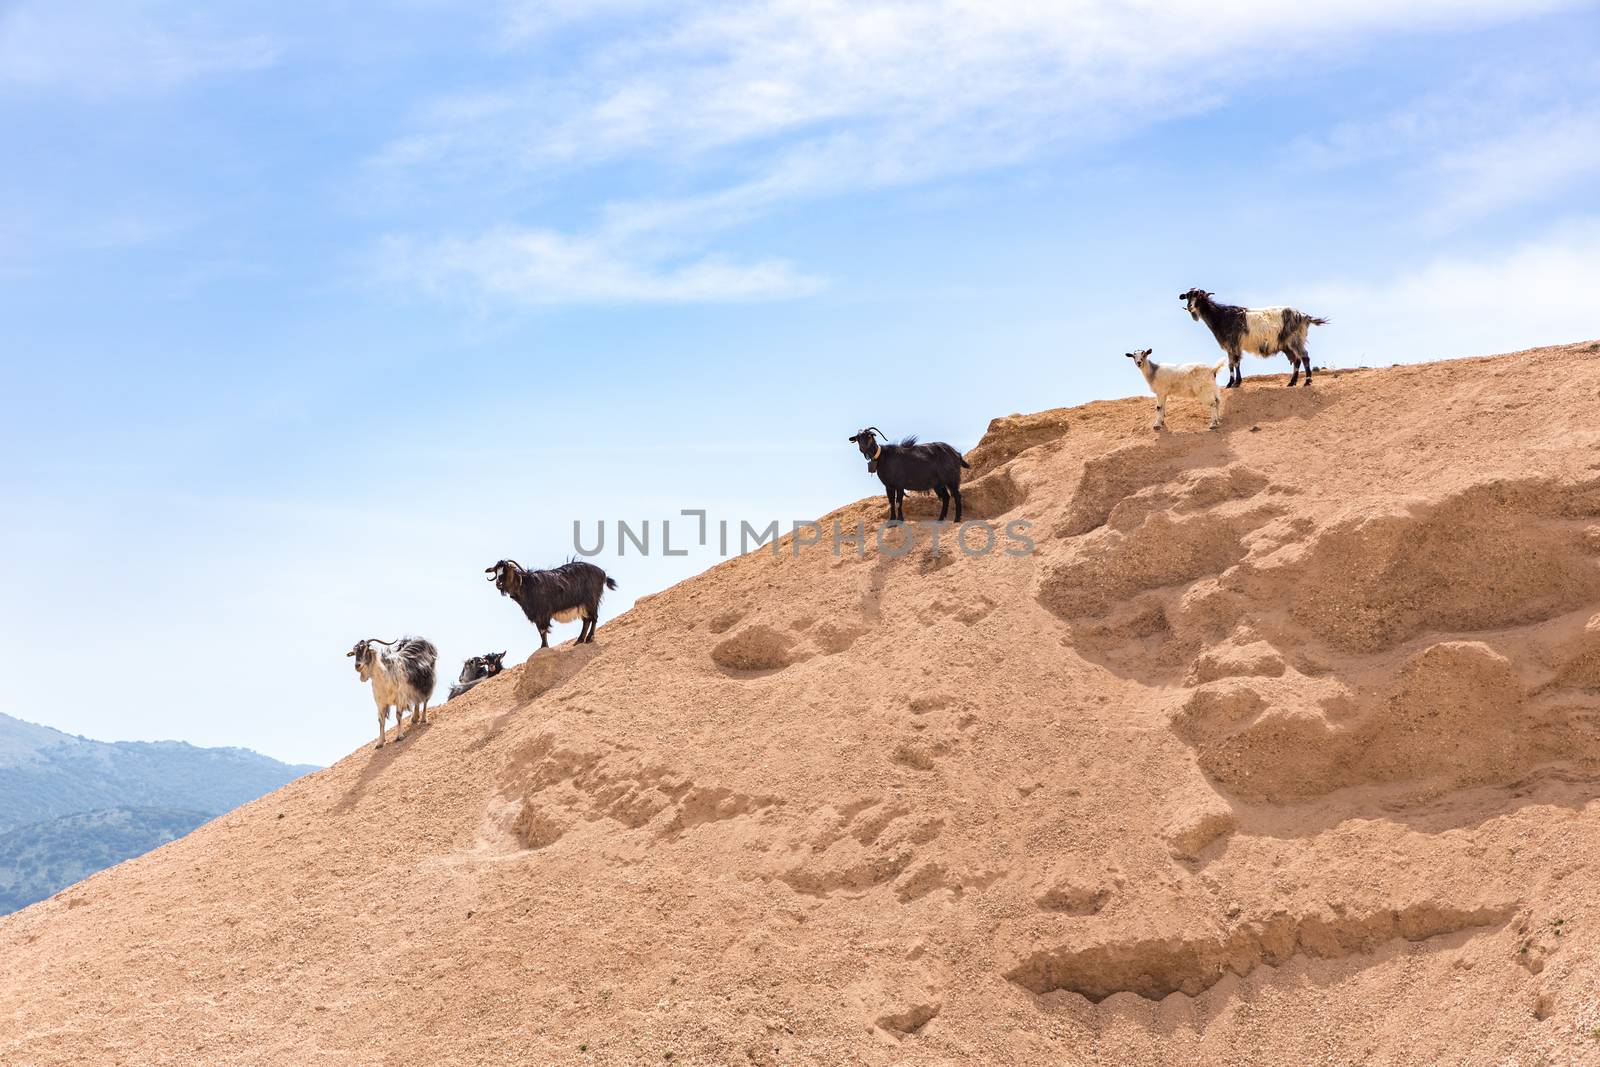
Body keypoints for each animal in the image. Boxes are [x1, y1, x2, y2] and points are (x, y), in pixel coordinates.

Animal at [483, 563, 614, 646]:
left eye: (507, 569)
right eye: (496, 571)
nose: (498, 583)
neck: (527, 585)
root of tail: (602, 573)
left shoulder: (543, 613)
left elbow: (542, 630)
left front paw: (544, 647)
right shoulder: (536, 615)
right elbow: (540, 630)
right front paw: (543, 646)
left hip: (591, 601)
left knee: (594, 618)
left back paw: (589, 638)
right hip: (583, 605)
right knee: (586, 620)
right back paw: (579, 641)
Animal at [1184, 289, 1331, 390]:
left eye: (1199, 296)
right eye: (1188, 296)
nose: (1190, 306)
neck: (1222, 316)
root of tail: (1304, 316)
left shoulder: (1234, 343)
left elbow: (1236, 362)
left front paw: (1236, 383)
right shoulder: (1230, 346)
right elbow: (1231, 364)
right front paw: (1229, 384)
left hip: (1295, 339)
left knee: (1304, 356)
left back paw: (1307, 381)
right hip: (1287, 344)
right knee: (1297, 360)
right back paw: (1292, 382)